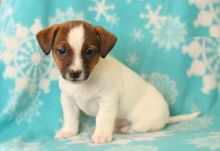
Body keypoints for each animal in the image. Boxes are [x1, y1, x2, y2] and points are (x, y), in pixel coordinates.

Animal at [36, 20, 199, 144]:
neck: (85, 83)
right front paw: (68, 132)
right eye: (62, 51)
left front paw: (101, 134)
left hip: (143, 123)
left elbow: (102, 118)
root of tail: (167, 116)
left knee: (140, 128)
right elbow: (70, 118)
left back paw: (127, 129)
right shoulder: (68, 99)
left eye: (89, 51)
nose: (75, 73)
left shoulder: (107, 101)